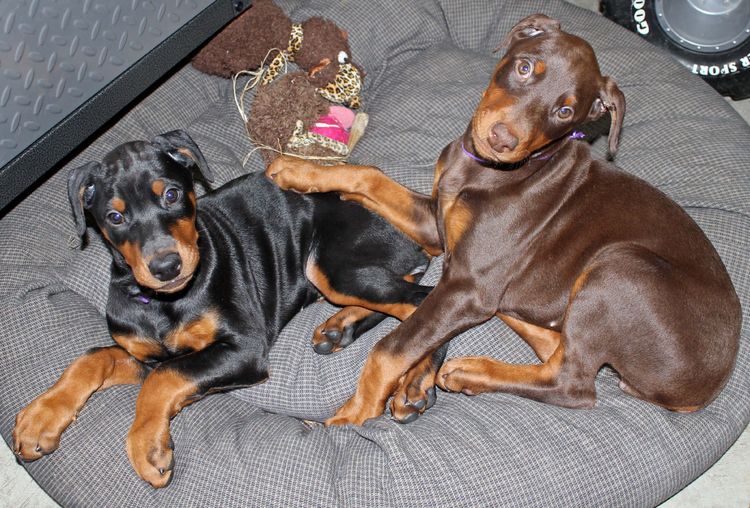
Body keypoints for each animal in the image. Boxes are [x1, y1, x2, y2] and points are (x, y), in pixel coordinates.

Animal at [14, 131, 432, 488]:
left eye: (171, 194)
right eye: (115, 217)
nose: (166, 267)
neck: (163, 303)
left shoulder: (244, 348)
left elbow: (164, 377)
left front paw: (148, 446)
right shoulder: (145, 354)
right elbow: (94, 357)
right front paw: (38, 419)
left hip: (329, 263)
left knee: (419, 303)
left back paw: (414, 383)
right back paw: (339, 329)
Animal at [268, 13, 744, 424]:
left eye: (565, 111)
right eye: (525, 67)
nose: (502, 139)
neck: (488, 171)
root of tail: (707, 388)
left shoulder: (470, 283)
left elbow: (391, 349)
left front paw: (351, 417)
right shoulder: (436, 226)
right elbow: (369, 174)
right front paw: (297, 170)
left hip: (619, 270)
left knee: (573, 382)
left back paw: (468, 372)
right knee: (541, 337)